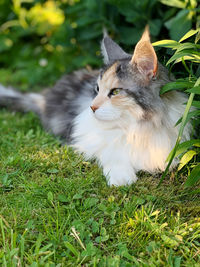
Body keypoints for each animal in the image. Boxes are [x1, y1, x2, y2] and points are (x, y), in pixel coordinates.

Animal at [0, 26, 191, 186]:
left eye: (115, 91)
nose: (92, 107)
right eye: (97, 89)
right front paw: (121, 177)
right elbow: (111, 152)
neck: (139, 126)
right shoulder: (88, 137)